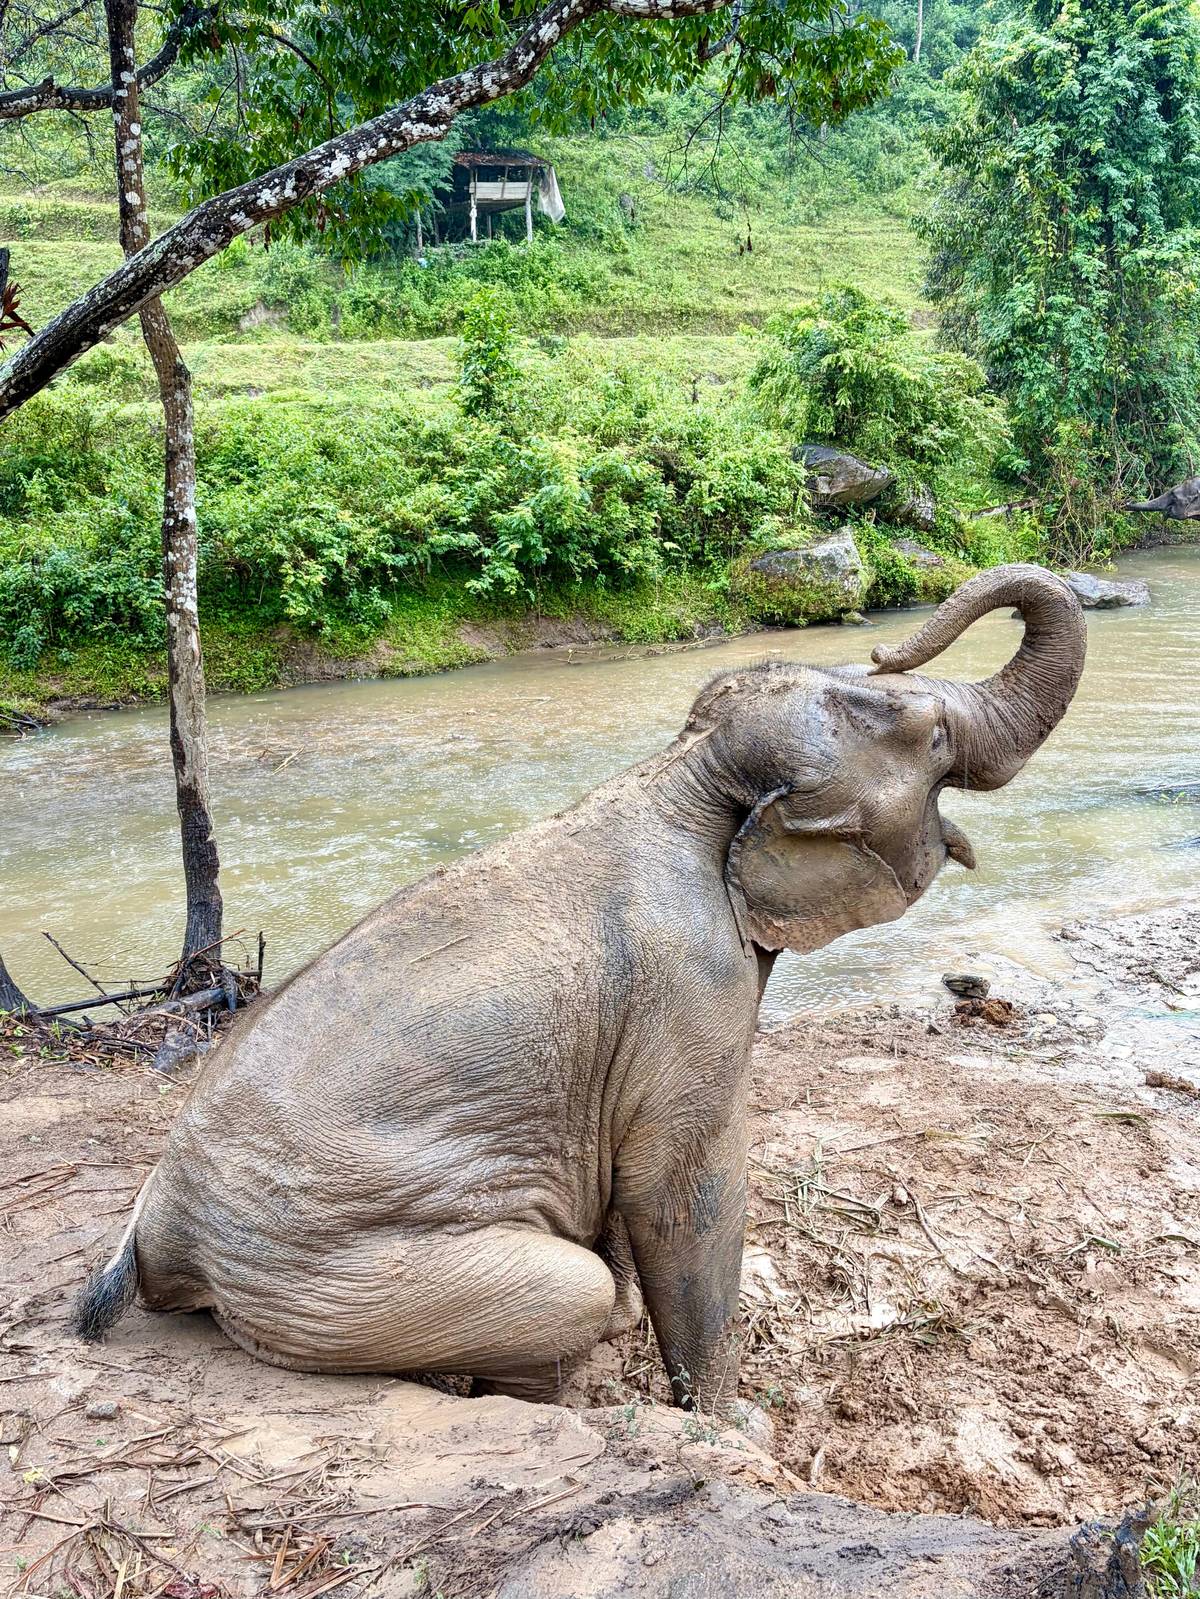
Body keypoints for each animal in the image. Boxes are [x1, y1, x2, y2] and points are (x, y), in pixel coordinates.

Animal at [73, 564, 1086, 1415]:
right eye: (932, 735)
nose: (886, 644)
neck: (683, 774)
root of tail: (157, 1231)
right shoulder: (692, 985)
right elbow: (683, 1186)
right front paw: (730, 1423)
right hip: (322, 1287)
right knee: (564, 1295)